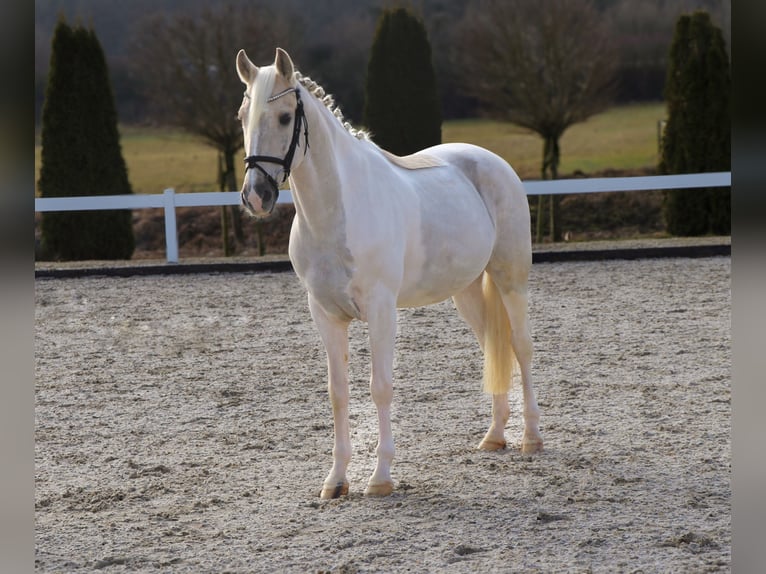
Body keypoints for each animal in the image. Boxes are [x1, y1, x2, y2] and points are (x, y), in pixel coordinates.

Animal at [237, 48, 544, 500]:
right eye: (243, 115)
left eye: (285, 117)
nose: (256, 196)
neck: (338, 211)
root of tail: (493, 162)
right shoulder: (325, 314)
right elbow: (338, 393)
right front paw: (336, 480)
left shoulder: (381, 310)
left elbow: (379, 387)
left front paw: (380, 478)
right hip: (467, 292)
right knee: (494, 345)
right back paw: (493, 437)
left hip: (511, 278)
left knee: (521, 347)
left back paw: (531, 438)